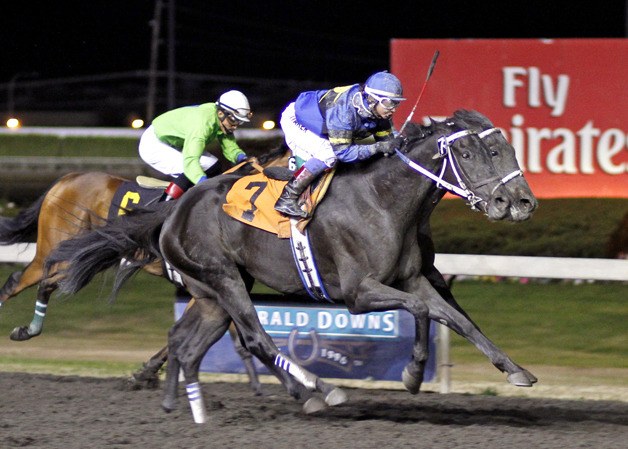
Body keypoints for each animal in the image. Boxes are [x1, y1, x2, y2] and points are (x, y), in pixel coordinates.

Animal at [50, 110, 540, 422]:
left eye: (507, 148)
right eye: (474, 154)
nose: (518, 202)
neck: (383, 200)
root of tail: (174, 211)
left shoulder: (414, 279)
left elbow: (455, 318)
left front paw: (516, 370)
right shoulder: (359, 293)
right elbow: (423, 312)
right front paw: (413, 375)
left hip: (211, 293)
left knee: (187, 343)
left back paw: (189, 407)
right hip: (225, 280)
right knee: (256, 338)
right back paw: (318, 391)